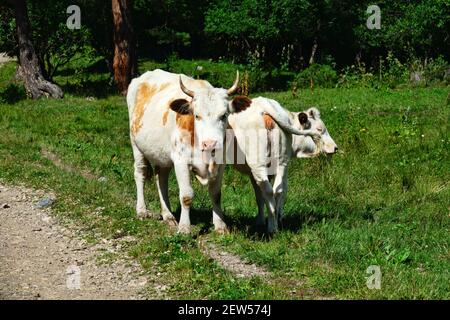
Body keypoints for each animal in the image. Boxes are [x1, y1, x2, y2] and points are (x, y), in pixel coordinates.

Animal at [229, 96, 338, 234]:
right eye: (319, 129)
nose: (335, 147)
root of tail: (262, 104)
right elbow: (277, 192)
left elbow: (260, 197)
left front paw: (263, 221)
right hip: (278, 162)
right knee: (276, 191)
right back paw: (274, 226)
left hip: (261, 165)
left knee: (270, 192)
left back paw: (272, 227)